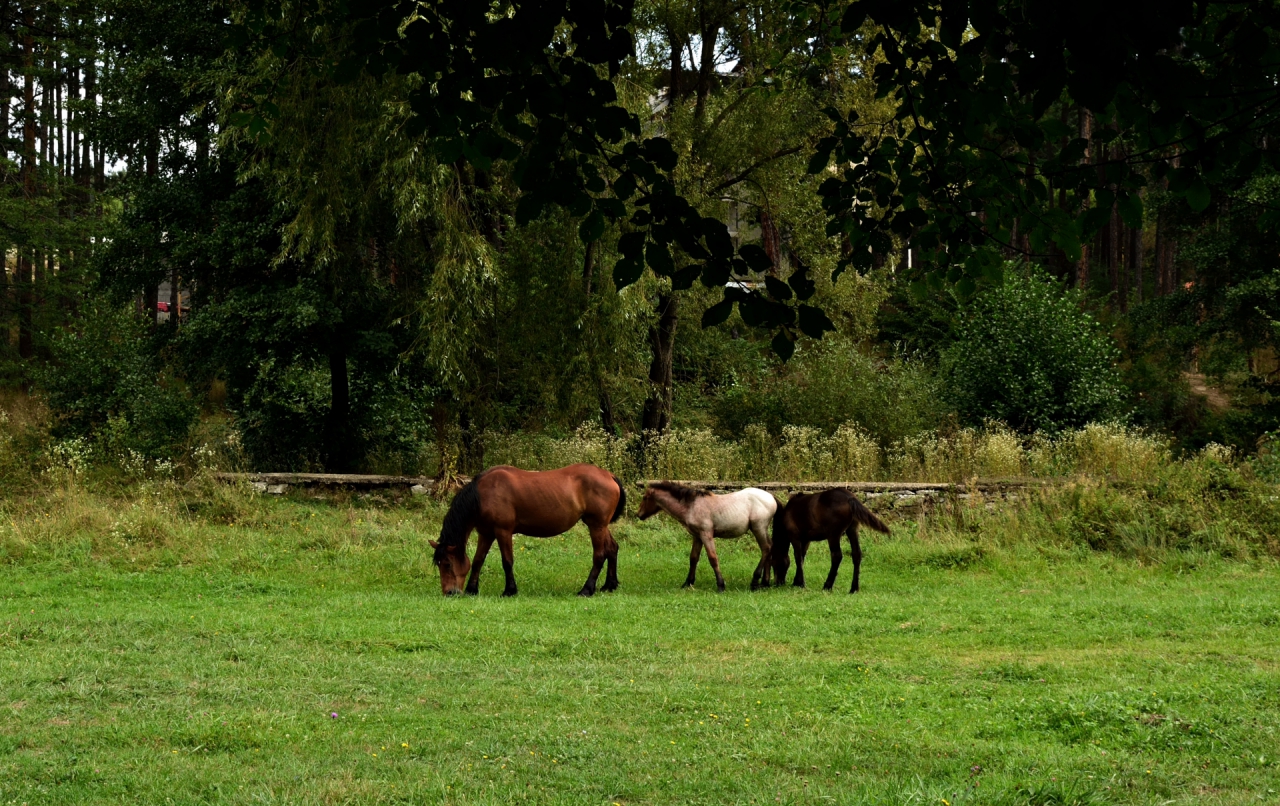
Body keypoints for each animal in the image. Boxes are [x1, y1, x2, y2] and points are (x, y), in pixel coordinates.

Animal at [432, 468, 627, 601]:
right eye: (439, 564)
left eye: (447, 564)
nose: (449, 592)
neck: (483, 494)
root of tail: (609, 475)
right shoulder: (486, 533)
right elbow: (478, 560)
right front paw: (472, 589)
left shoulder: (503, 531)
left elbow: (507, 561)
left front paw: (509, 590)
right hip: (600, 526)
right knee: (612, 549)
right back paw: (609, 585)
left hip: (596, 526)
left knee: (599, 555)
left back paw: (586, 589)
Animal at [634, 483, 773, 591]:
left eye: (644, 498)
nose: (638, 514)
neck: (692, 506)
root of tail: (772, 498)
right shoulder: (697, 536)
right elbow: (693, 558)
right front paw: (688, 582)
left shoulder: (706, 535)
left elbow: (713, 558)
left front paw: (721, 585)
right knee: (770, 548)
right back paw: (765, 583)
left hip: (758, 528)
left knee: (766, 548)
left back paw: (755, 582)